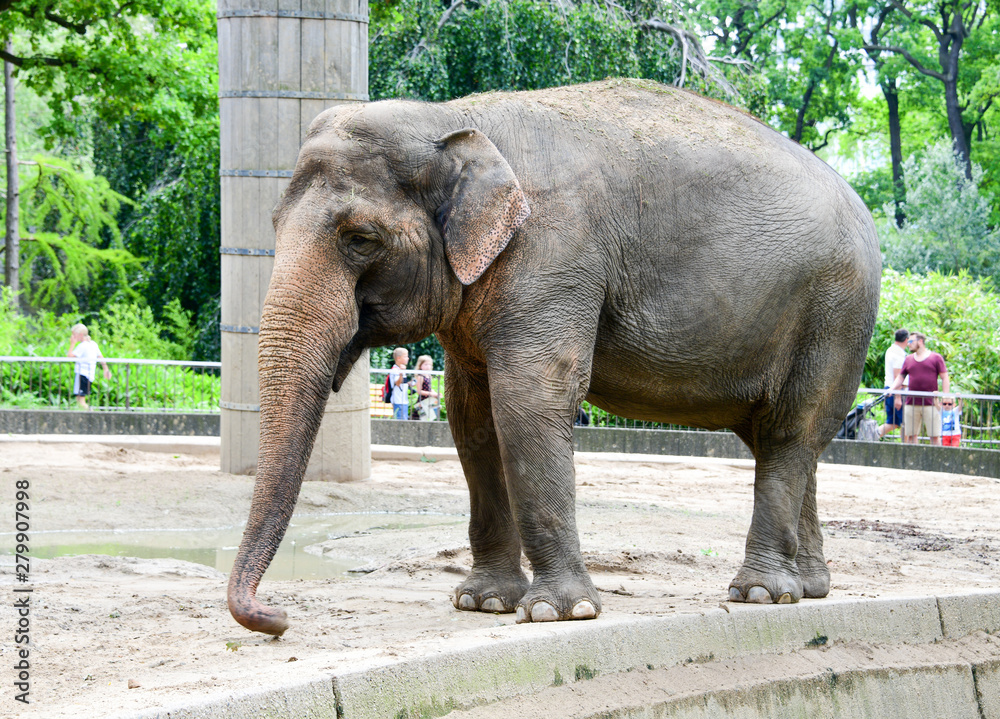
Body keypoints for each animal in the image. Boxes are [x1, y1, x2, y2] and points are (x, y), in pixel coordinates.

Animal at [229, 79, 884, 640]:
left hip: (835, 310)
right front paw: (483, 603)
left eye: (360, 239)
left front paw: (557, 613)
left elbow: (526, 399)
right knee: (787, 437)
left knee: (790, 429)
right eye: (273, 223)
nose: (278, 616)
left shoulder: (552, 255)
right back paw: (809, 588)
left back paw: (760, 595)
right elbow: (471, 418)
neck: (453, 119)